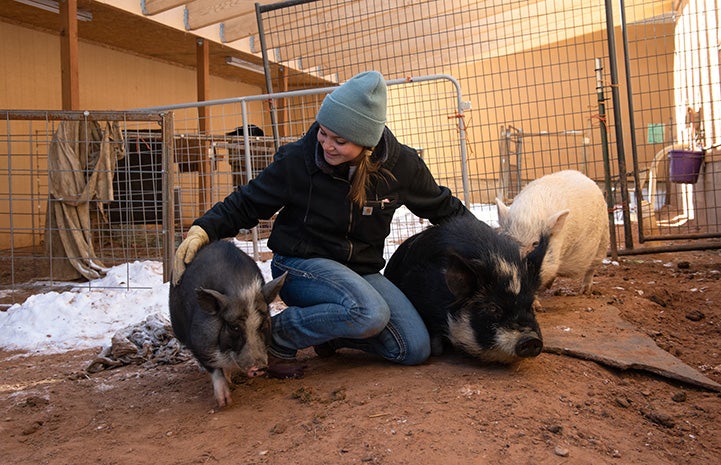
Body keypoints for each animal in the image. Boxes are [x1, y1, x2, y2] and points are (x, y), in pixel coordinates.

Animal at [169, 239, 286, 406]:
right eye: (234, 327)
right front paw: (224, 402)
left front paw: (230, 385)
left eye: (262, 323)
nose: (259, 367)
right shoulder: (199, 339)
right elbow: (214, 368)